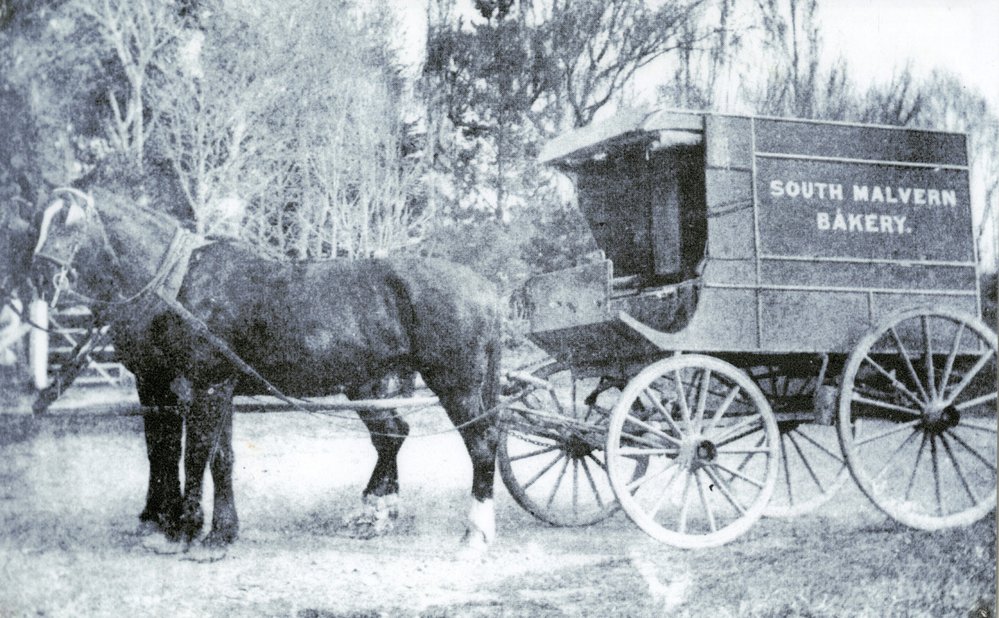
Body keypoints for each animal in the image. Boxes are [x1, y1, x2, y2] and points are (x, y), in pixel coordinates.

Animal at [29, 183, 503, 552]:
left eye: (68, 223)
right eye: (42, 220)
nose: (38, 277)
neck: (179, 282)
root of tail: (486, 289)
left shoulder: (201, 385)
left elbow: (192, 452)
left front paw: (186, 528)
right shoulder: (198, 387)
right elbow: (210, 456)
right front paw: (216, 531)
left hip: (456, 387)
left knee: (481, 445)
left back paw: (475, 533)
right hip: (370, 385)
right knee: (393, 435)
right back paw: (375, 512)